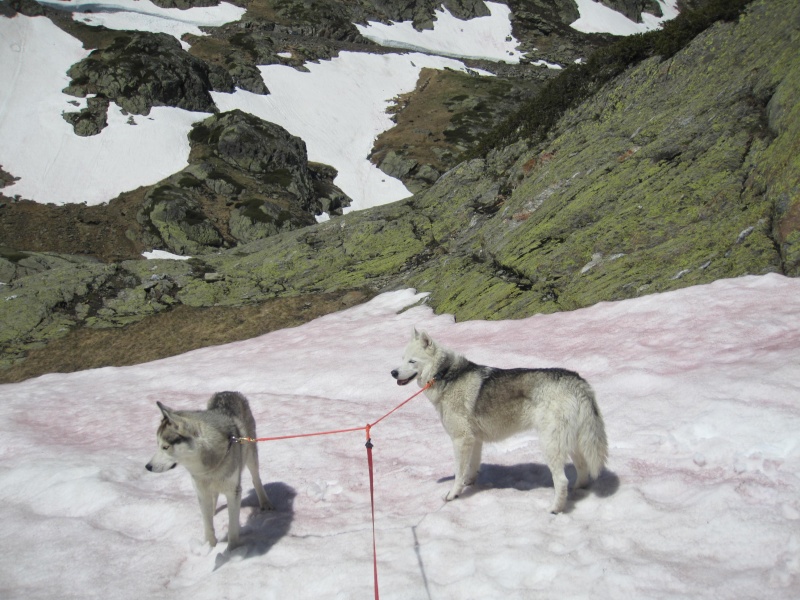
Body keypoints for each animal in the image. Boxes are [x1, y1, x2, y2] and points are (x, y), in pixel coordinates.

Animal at [147, 392, 276, 552]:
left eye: (165, 447)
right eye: (157, 445)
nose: (148, 467)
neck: (210, 466)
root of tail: (228, 392)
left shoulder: (233, 492)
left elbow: (233, 529)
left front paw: (231, 551)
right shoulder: (201, 491)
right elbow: (208, 526)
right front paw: (209, 548)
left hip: (251, 455)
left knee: (256, 479)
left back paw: (265, 502)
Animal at [392, 330, 608, 512]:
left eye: (412, 361)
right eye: (402, 359)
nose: (393, 373)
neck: (444, 374)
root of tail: (577, 382)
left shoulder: (461, 440)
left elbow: (458, 472)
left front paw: (453, 494)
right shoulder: (474, 440)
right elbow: (471, 469)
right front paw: (469, 484)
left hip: (550, 445)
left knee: (561, 480)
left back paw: (554, 509)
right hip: (573, 443)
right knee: (583, 469)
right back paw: (578, 491)